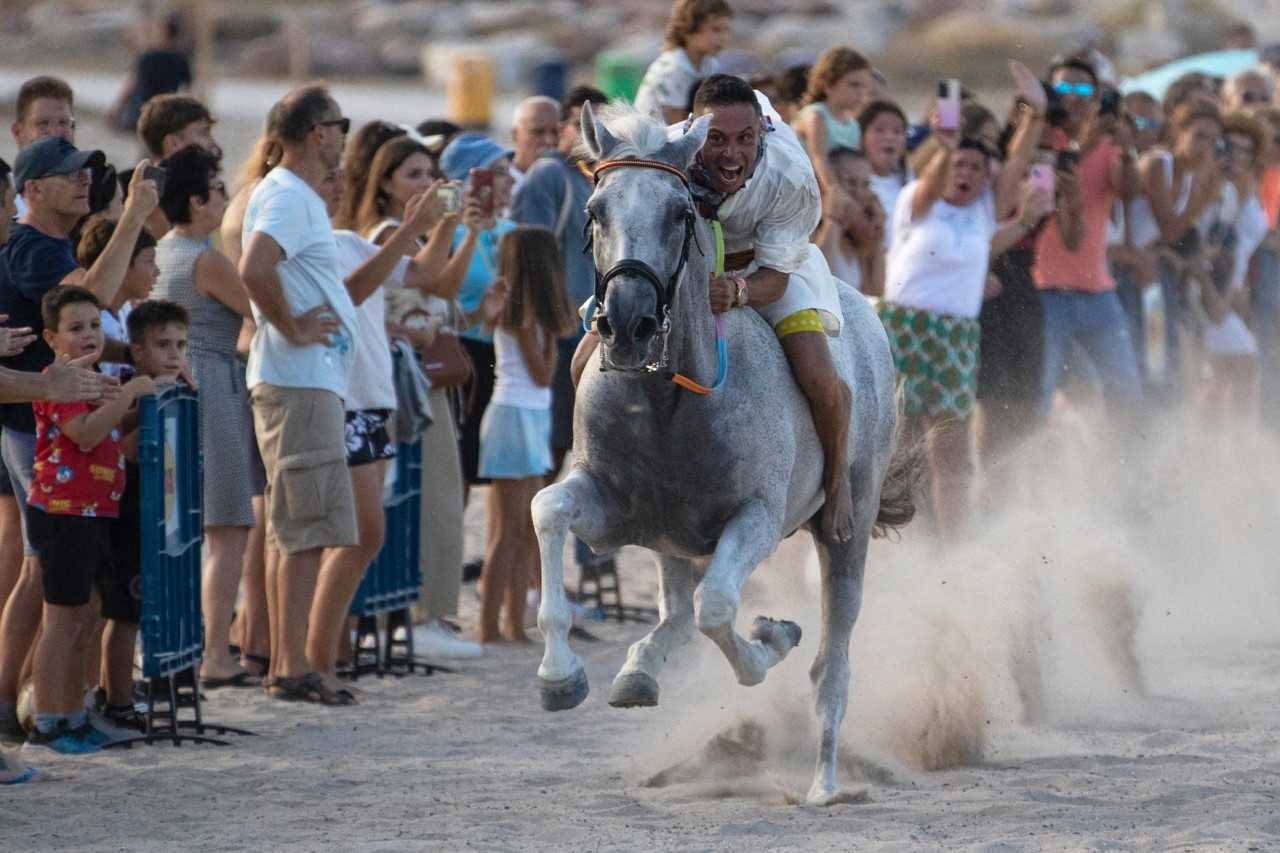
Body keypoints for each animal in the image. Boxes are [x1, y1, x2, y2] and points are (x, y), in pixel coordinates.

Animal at [532, 101, 915, 805]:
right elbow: (548, 509)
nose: (627, 326)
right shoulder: (614, 505)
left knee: (831, 665)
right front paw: (559, 677)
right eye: (594, 210)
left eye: (680, 215)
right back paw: (637, 673)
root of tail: (868, 309)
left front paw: (771, 638)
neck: (666, 399)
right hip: (668, 538)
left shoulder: (756, 518)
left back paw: (824, 781)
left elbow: (719, 610)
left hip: (846, 529)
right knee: (676, 615)